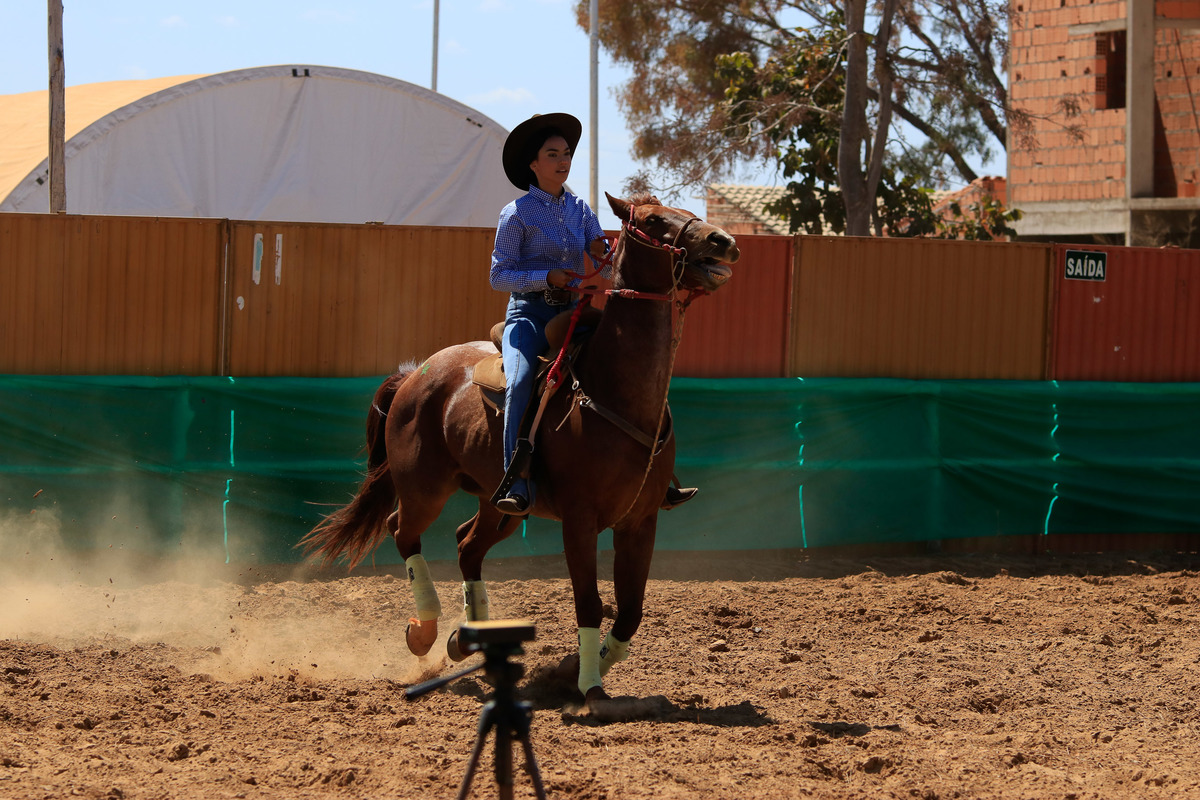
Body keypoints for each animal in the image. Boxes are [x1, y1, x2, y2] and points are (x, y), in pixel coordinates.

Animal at [300, 192, 740, 703]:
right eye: (652, 220)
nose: (722, 241)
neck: (613, 392)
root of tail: (414, 374)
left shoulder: (640, 522)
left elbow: (630, 611)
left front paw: (574, 670)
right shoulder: (579, 521)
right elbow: (590, 604)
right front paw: (589, 685)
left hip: (500, 504)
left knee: (466, 545)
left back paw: (466, 639)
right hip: (425, 489)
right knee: (403, 531)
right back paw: (424, 632)